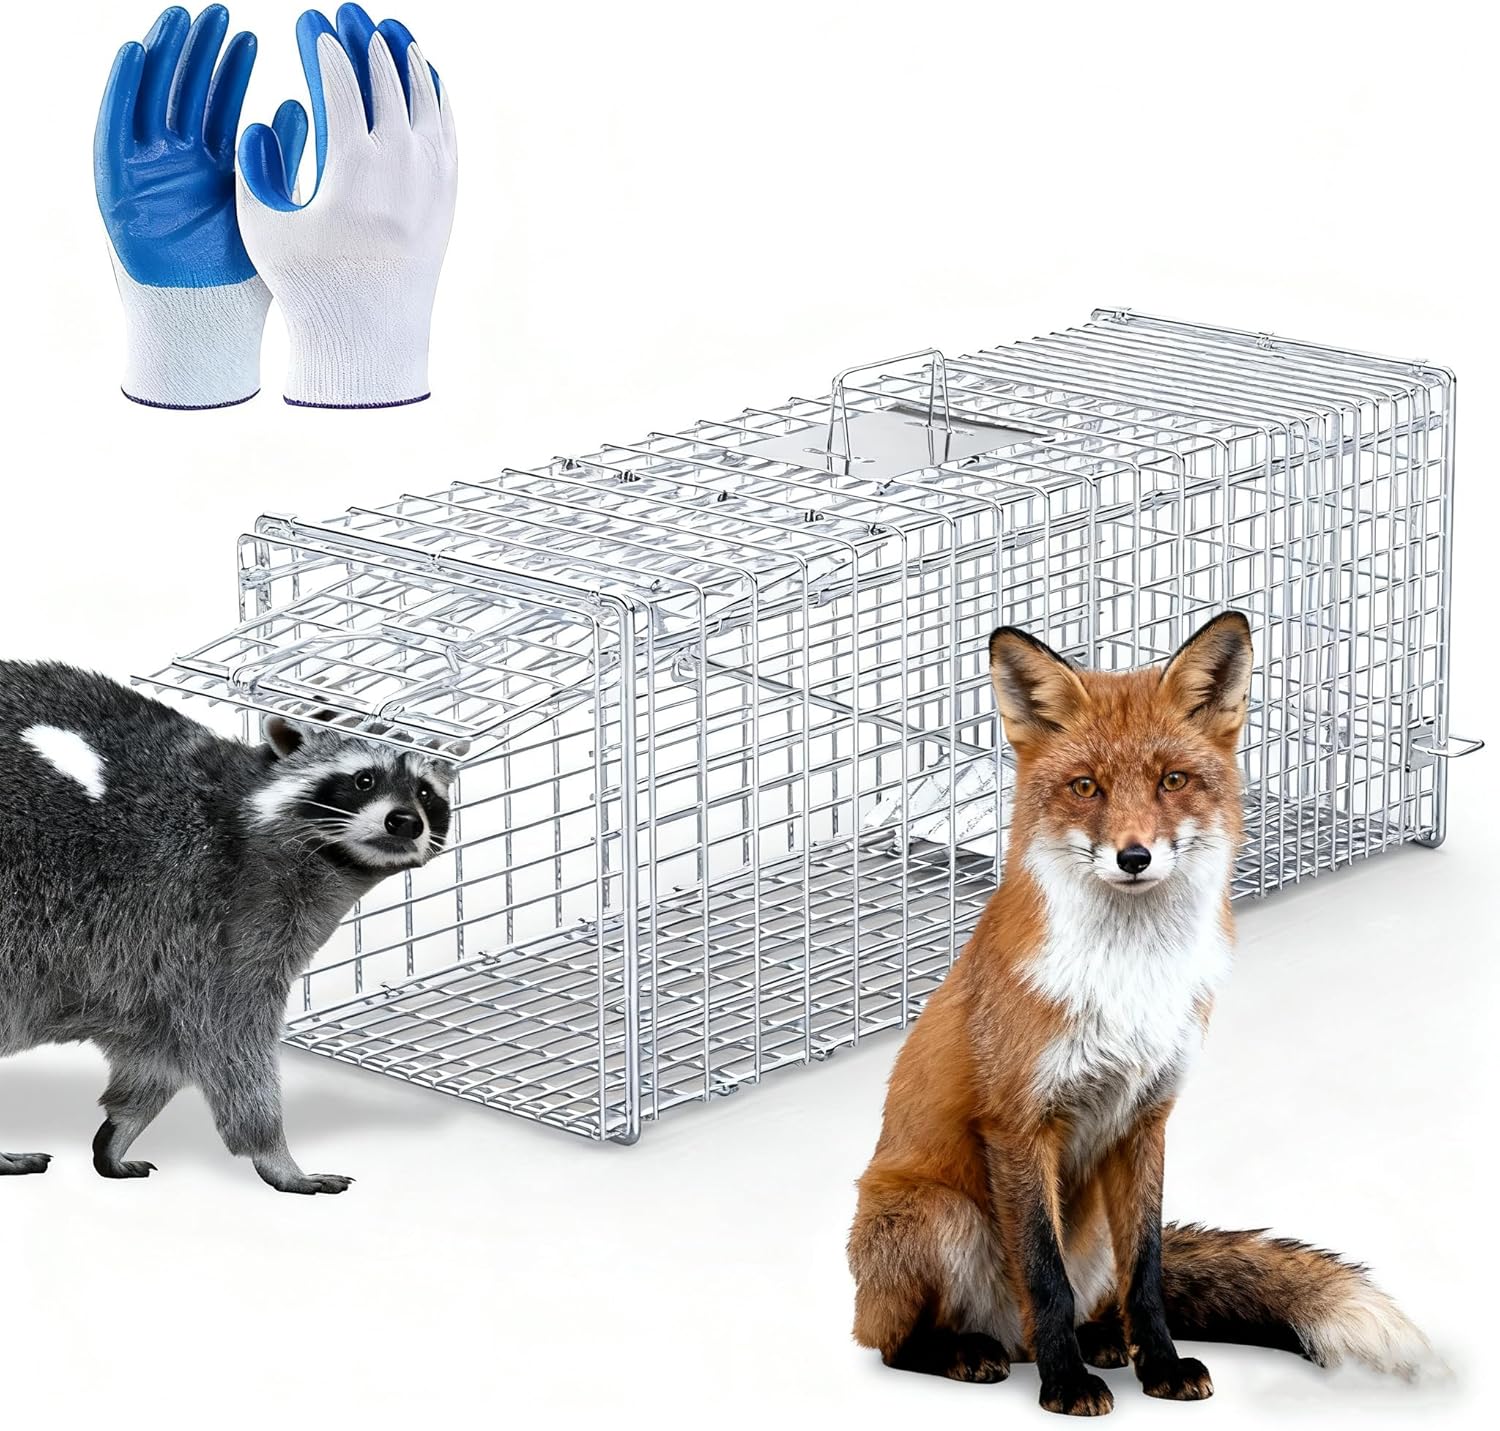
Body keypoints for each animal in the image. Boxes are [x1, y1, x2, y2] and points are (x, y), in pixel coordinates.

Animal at [0, 661, 455, 1194]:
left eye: (425, 791)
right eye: (364, 779)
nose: (405, 821)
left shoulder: (149, 973)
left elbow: (155, 1054)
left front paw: (121, 1129)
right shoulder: (208, 918)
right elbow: (229, 1039)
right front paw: (274, 1153)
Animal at [847, 612, 1431, 1415]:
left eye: (1172, 780)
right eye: (1086, 786)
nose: (1133, 856)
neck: (1129, 979)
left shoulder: (1147, 1116)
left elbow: (1148, 1272)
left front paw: (1160, 1364)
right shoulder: (1021, 1123)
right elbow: (1046, 1277)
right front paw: (1065, 1386)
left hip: (1088, 1230)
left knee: (1090, 1301)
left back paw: (1102, 1341)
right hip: (940, 1216)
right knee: (898, 1342)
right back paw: (973, 1353)